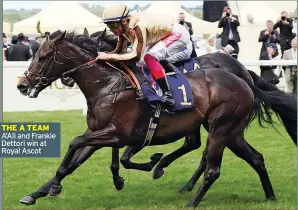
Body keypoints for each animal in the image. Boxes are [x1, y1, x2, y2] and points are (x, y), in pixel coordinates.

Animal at [16, 30, 278, 208]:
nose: (22, 85)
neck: (108, 85)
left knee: (211, 165)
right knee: (254, 158)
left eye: (44, 56)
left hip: (220, 127)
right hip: (230, 132)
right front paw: (38, 192)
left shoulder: (117, 133)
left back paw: (188, 197)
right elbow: (74, 161)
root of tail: (243, 79)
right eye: (35, 54)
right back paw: (270, 196)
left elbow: (76, 143)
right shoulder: (99, 133)